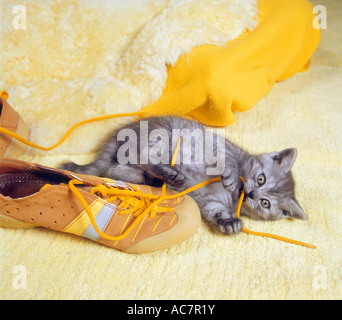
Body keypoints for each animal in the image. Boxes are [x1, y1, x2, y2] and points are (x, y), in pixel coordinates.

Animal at [59, 116, 308, 234]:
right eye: (261, 178)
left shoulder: (208, 199)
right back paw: (169, 175)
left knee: (114, 168)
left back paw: (153, 179)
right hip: (164, 137)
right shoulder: (221, 147)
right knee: (144, 156)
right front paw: (230, 175)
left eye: (265, 203)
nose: (252, 195)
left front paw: (229, 222)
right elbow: (229, 162)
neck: (231, 195)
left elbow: (216, 210)